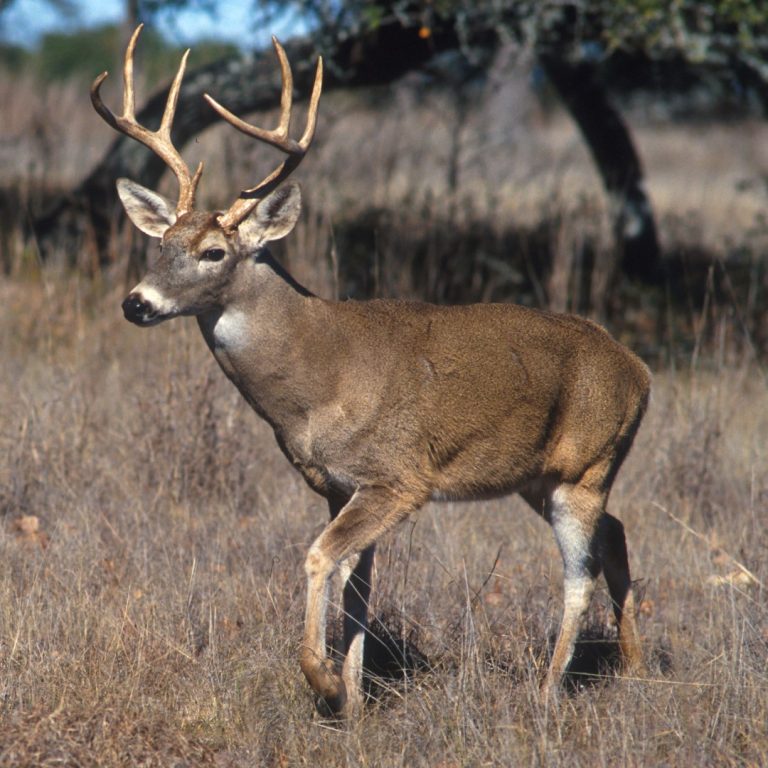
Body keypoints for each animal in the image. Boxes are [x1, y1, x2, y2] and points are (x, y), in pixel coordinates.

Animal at [93, 25, 652, 720]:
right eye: (160, 244)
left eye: (213, 251)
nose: (136, 303)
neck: (316, 382)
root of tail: (640, 371)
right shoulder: (339, 484)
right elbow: (358, 586)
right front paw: (356, 700)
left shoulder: (398, 477)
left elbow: (319, 558)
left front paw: (326, 682)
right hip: (541, 475)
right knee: (617, 534)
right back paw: (634, 668)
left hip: (586, 465)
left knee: (580, 572)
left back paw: (548, 693)